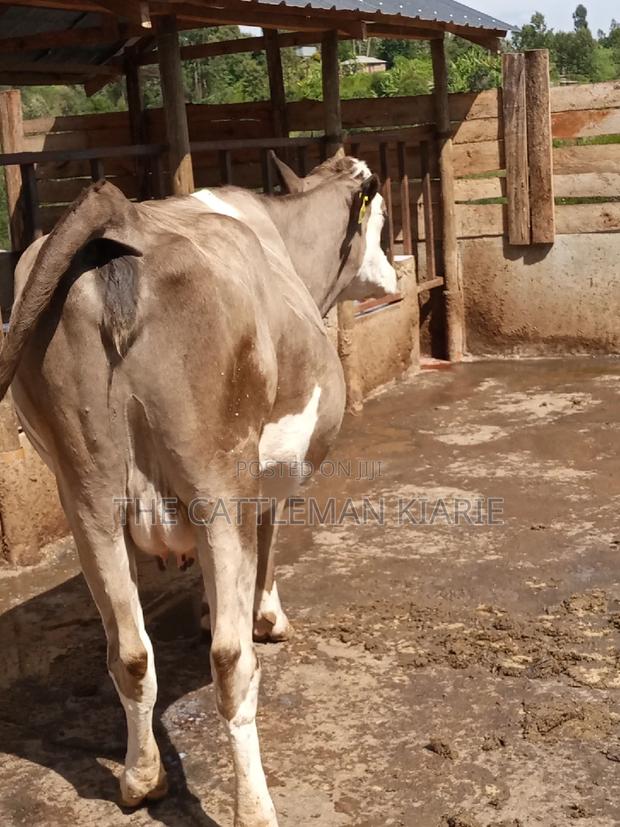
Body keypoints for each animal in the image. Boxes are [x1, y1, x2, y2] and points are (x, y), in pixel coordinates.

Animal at [0, 157, 396, 826]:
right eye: (383, 221)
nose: (394, 278)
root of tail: (123, 215)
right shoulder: (263, 484)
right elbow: (267, 551)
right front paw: (267, 617)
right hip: (217, 482)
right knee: (230, 663)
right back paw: (254, 807)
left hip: (85, 490)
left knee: (130, 652)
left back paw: (141, 779)